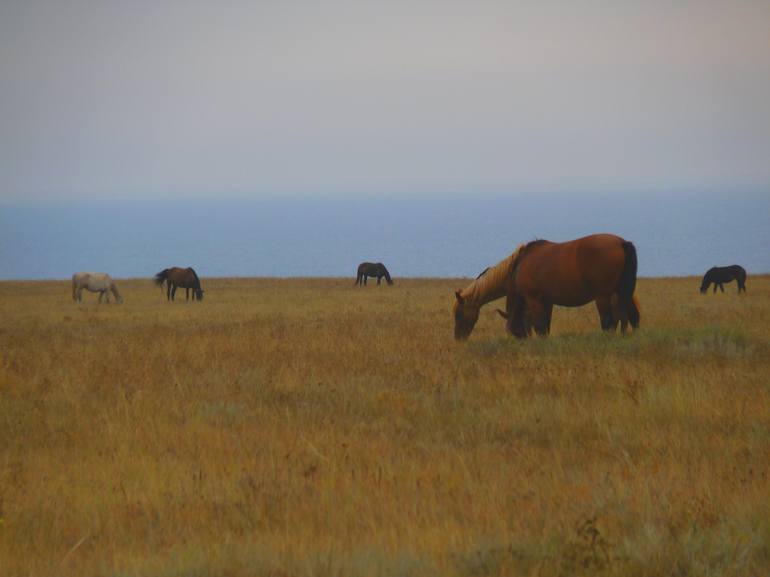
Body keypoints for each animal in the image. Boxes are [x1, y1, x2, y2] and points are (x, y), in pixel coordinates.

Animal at [500, 232, 640, 336]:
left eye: (513, 331)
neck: (522, 264)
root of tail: (621, 242)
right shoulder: (546, 301)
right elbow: (546, 325)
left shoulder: (533, 299)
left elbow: (540, 326)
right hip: (622, 293)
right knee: (632, 316)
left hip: (603, 296)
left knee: (608, 321)